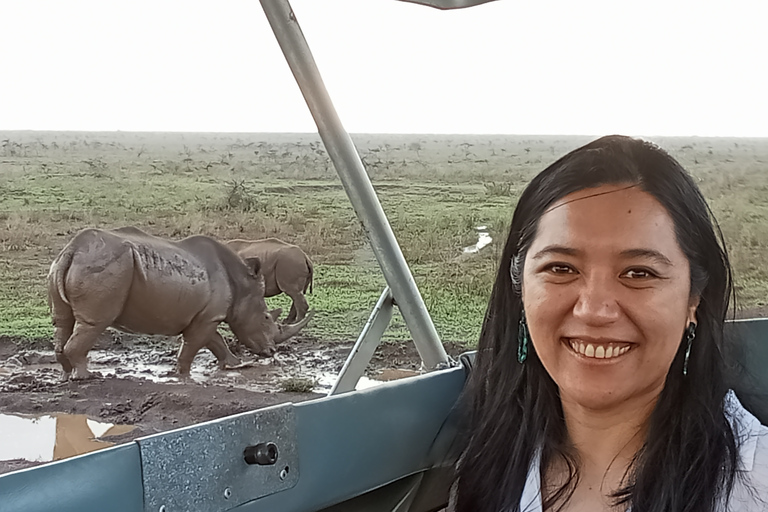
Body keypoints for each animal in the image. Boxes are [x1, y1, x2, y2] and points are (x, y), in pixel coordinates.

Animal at [48, 228, 312, 380]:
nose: (272, 351)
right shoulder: (210, 316)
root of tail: (73, 249)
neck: (242, 285)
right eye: (266, 318)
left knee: (63, 321)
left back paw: (66, 375)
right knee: (95, 323)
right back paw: (86, 377)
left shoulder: (208, 315)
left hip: (67, 265)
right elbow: (195, 343)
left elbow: (215, 341)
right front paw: (182, 374)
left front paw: (236, 365)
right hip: (104, 267)